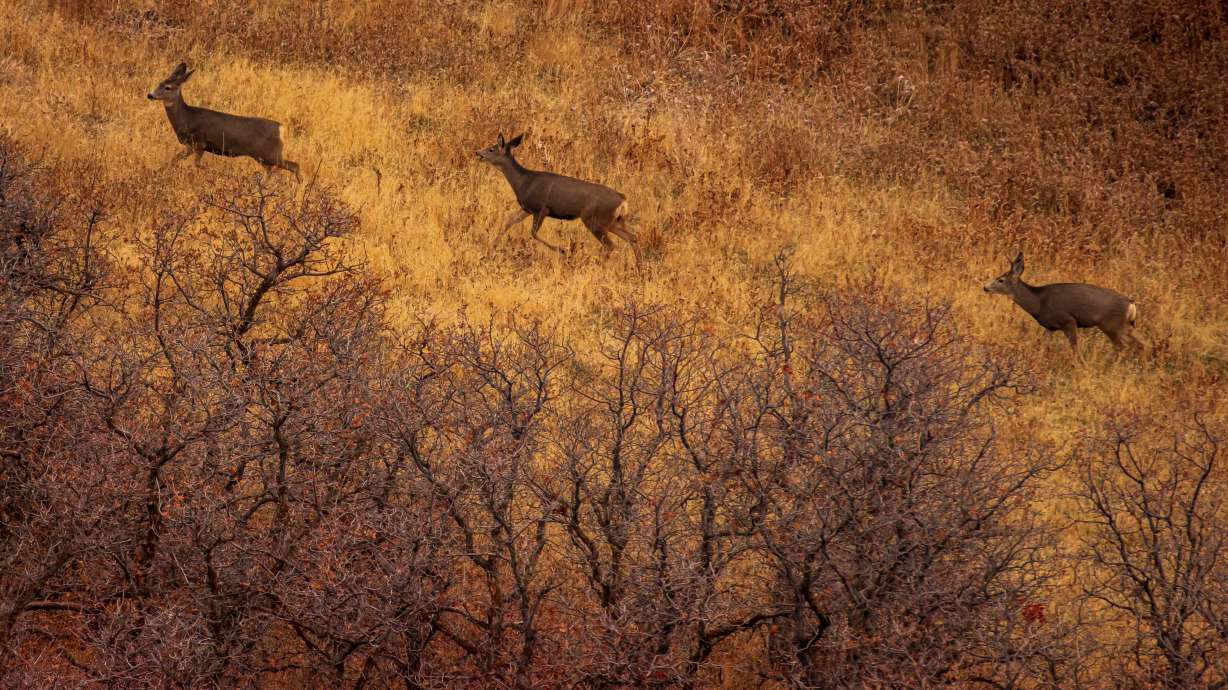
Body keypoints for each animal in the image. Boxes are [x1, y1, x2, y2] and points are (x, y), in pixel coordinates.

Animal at [147, 63, 300, 180]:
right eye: (159, 83)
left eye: (168, 87)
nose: (150, 95)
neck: (186, 118)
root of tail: (281, 128)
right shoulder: (190, 146)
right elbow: (174, 159)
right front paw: (158, 171)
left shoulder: (200, 142)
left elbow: (196, 164)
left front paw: (221, 174)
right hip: (263, 156)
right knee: (271, 172)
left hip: (270, 154)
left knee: (295, 166)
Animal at [476, 132, 641, 268]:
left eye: (491, 149)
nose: (477, 152)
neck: (523, 182)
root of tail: (623, 199)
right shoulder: (527, 208)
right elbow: (508, 221)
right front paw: (492, 246)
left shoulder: (542, 208)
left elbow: (533, 233)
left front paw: (562, 250)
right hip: (613, 221)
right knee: (633, 237)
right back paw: (639, 268)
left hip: (594, 219)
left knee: (611, 245)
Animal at [984, 252, 1144, 359]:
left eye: (1001, 280)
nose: (985, 288)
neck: (1038, 303)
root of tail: (1131, 304)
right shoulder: (1050, 327)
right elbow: (1040, 346)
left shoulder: (1068, 320)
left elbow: (1075, 348)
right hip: (1123, 326)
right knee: (1140, 345)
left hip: (1111, 325)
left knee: (1122, 346)